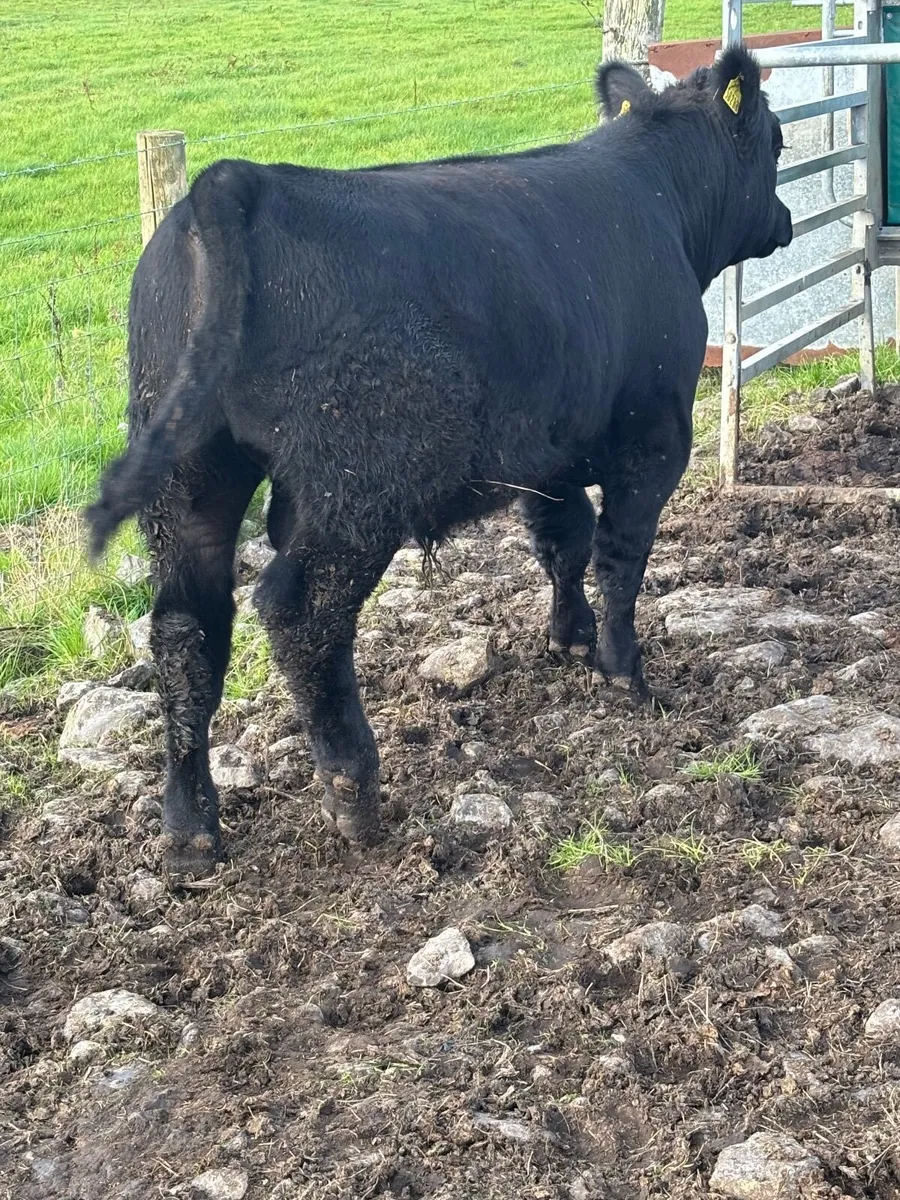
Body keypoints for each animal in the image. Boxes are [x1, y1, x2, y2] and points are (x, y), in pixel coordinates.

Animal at [86, 45, 791, 876]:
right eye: (778, 141)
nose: (785, 220)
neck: (657, 201)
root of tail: (240, 181)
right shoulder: (652, 439)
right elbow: (620, 558)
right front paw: (625, 673)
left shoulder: (546, 451)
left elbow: (564, 543)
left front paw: (569, 638)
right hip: (354, 489)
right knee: (300, 615)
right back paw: (353, 792)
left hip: (189, 478)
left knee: (185, 632)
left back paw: (190, 829)